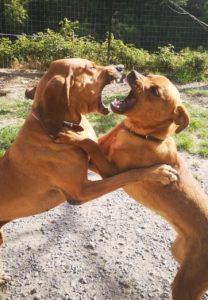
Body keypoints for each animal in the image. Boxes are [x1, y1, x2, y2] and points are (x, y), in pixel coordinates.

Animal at [0, 59, 177, 284]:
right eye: (90, 67)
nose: (121, 67)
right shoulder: (83, 191)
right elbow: (129, 174)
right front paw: (160, 172)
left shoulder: (99, 163)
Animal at [57, 69, 208, 298]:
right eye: (150, 75)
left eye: (155, 91)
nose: (133, 72)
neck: (142, 135)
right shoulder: (101, 152)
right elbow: (94, 142)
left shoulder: (110, 170)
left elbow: (89, 143)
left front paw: (72, 135)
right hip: (178, 255)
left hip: (186, 285)